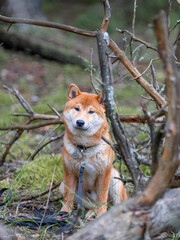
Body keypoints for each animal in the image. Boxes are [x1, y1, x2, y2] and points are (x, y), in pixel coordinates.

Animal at [59, 84, 127, 218]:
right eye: (77, 108)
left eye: (91, 111)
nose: (80, 122)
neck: (84, 148)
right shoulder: (69, 172)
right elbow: (68, 196)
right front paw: (64, 211)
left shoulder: (104, 173)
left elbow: (102, 197)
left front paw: (101, 214)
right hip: (64, 187)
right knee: (91, 205)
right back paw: (91, 212)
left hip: (115, 179)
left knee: (112, 204)